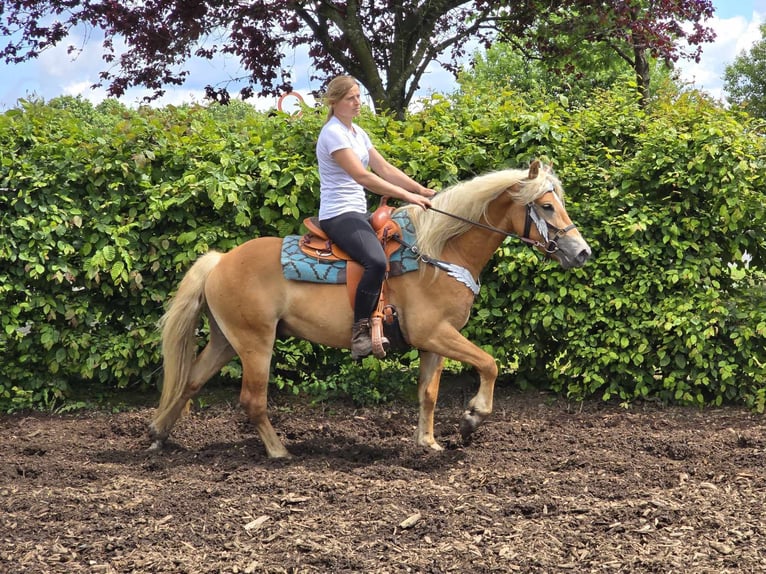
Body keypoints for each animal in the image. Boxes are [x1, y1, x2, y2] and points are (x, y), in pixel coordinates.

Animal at [150, 160, 592, 456]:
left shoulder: (435, 341)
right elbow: (490, 363)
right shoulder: (436, 333)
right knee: (252, 401)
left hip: (226, 341)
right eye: (547, 207)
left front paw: (428, 441)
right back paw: (279, 452)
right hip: (256, 343)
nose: (582, 252)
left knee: (190, 382)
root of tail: (220, 261)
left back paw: (158, 435)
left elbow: (428, 392)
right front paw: (472, 418)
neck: (439, 252)